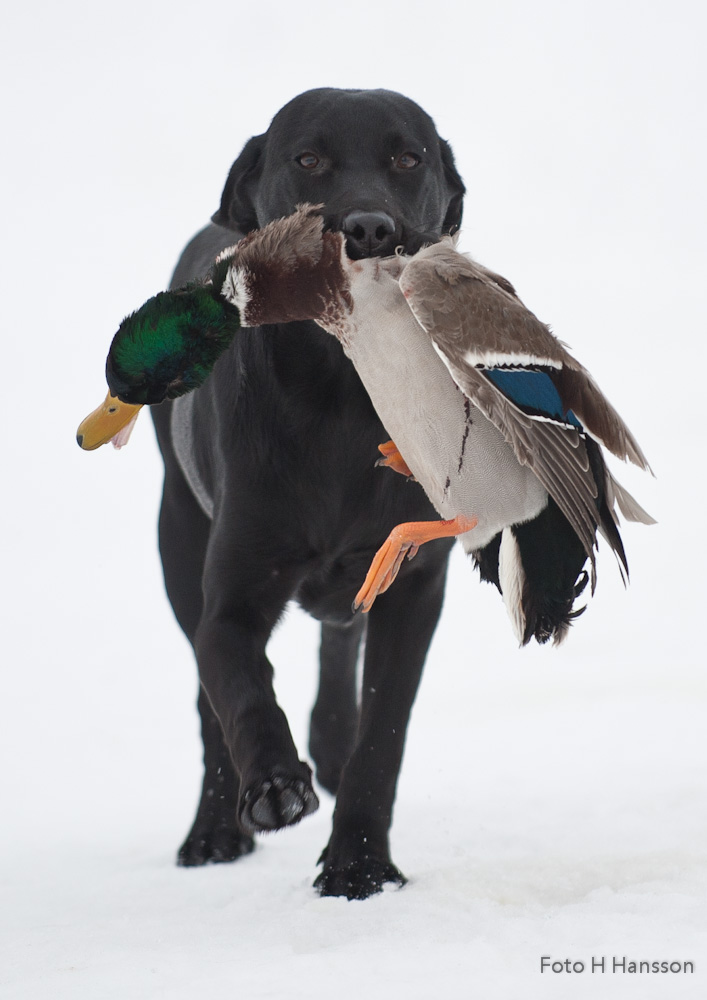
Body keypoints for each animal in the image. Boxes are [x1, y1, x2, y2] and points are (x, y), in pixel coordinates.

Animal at [151, 88, 465, 898]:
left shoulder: (415, 584)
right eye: (308, 158)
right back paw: (213, 830)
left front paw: (359, 863)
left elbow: (382, 735)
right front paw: (272, 785)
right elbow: (240, 690)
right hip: (178, 543)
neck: (344, 398)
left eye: (407, 157)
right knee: (209, 707)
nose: (369, 227)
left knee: (338, 646)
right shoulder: (231, 592)